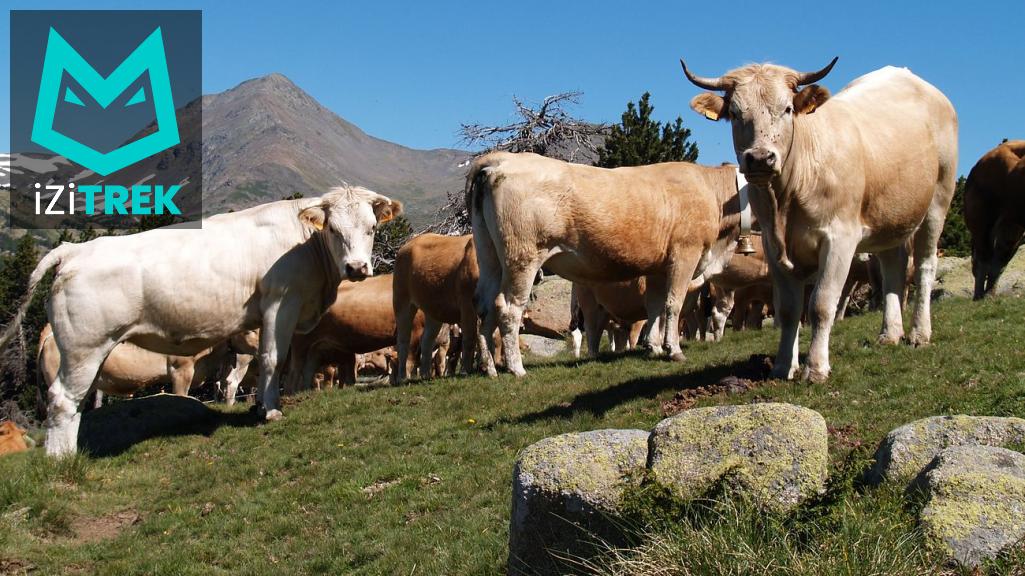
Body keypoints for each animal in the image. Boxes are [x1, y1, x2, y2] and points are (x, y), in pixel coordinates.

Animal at [0, 186, 401, 456]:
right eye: (333, 229)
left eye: (371, 228)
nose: (356, 267)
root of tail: (75, 250)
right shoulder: (281, 302)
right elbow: (274, 359)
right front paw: (271, 411)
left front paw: (259, 406)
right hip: (84, 346)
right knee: (64, 400)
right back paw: (62, 459)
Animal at [284, 273, 424, 392]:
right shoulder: (414, 330)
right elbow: (408, 359)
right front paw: (405, 381)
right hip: (300, 344)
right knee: (294, 372)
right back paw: (293, 394)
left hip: (315, 349)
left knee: (308, 370)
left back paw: (306, 392)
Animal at [468, 152, 750, 376]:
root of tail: (500, 159)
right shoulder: (685, 254)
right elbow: (673, 303)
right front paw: (674, 350)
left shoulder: (659, 267)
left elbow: (655, 306)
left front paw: (655, 347)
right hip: (522, 257)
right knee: (508, 307)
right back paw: (517, 368)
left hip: (489, 255)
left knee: (484, 306)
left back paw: (490, 368)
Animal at [682, 58, 957, 381]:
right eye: (735, 113)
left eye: (788, 108)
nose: (760, 158)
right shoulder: (774, 247)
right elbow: (789, 309)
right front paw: (783, 366)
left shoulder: (840, 239)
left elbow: (821, 304)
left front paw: (814, 368)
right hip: (890, 215)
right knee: (894, 267)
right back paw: (890, 333)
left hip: (938, 199)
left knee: (925, 265)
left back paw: (919, 333)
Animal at [965, 140, 1025, 299]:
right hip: (980, 220)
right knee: (983, 261)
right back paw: (980, 297)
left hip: (1011, 226)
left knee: (999, 260)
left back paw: (989, 295)